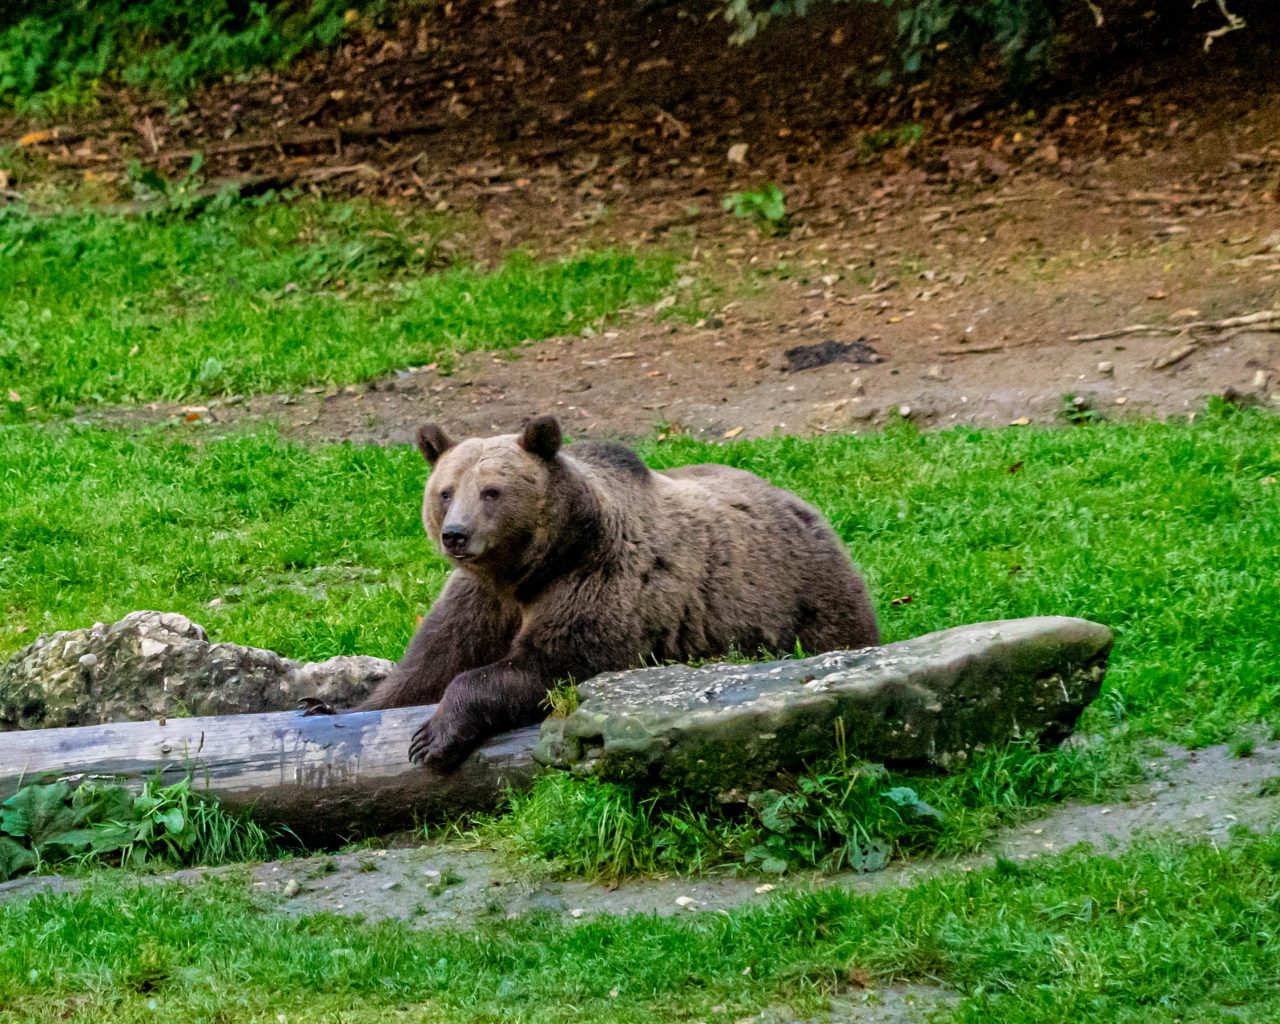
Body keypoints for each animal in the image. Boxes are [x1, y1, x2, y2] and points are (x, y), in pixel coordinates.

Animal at [302, 414, 880, 768]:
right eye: (445, 491)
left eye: (492, 491)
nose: (456, 535)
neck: (528, 570)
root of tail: (809, 508)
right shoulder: (479, 598)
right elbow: (426, 666)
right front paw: (324, 706)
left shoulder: (598, 583)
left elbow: (552, 666)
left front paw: (433, 736)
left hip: (802, 605)